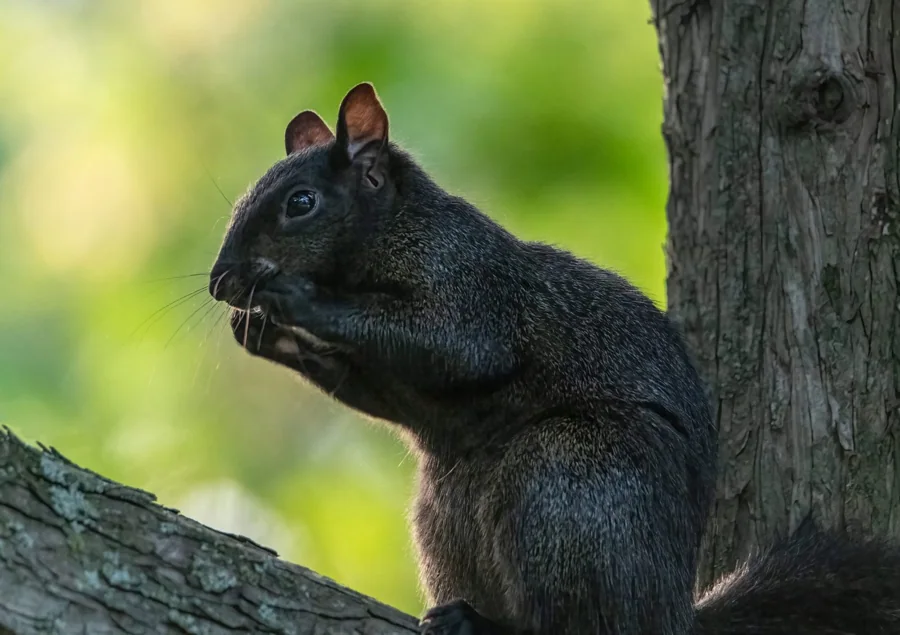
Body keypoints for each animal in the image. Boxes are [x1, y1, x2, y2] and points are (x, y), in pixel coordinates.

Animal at [208, 82, 900, 634]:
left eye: (301, 203)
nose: (220, 283)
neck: (378, 247)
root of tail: (671, 615)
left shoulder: (472, 285)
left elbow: (452, 345)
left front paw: (296, 299)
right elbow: (376, 388)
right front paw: (263, 333)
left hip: (567, 485)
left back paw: (486, 624)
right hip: (448, 519)